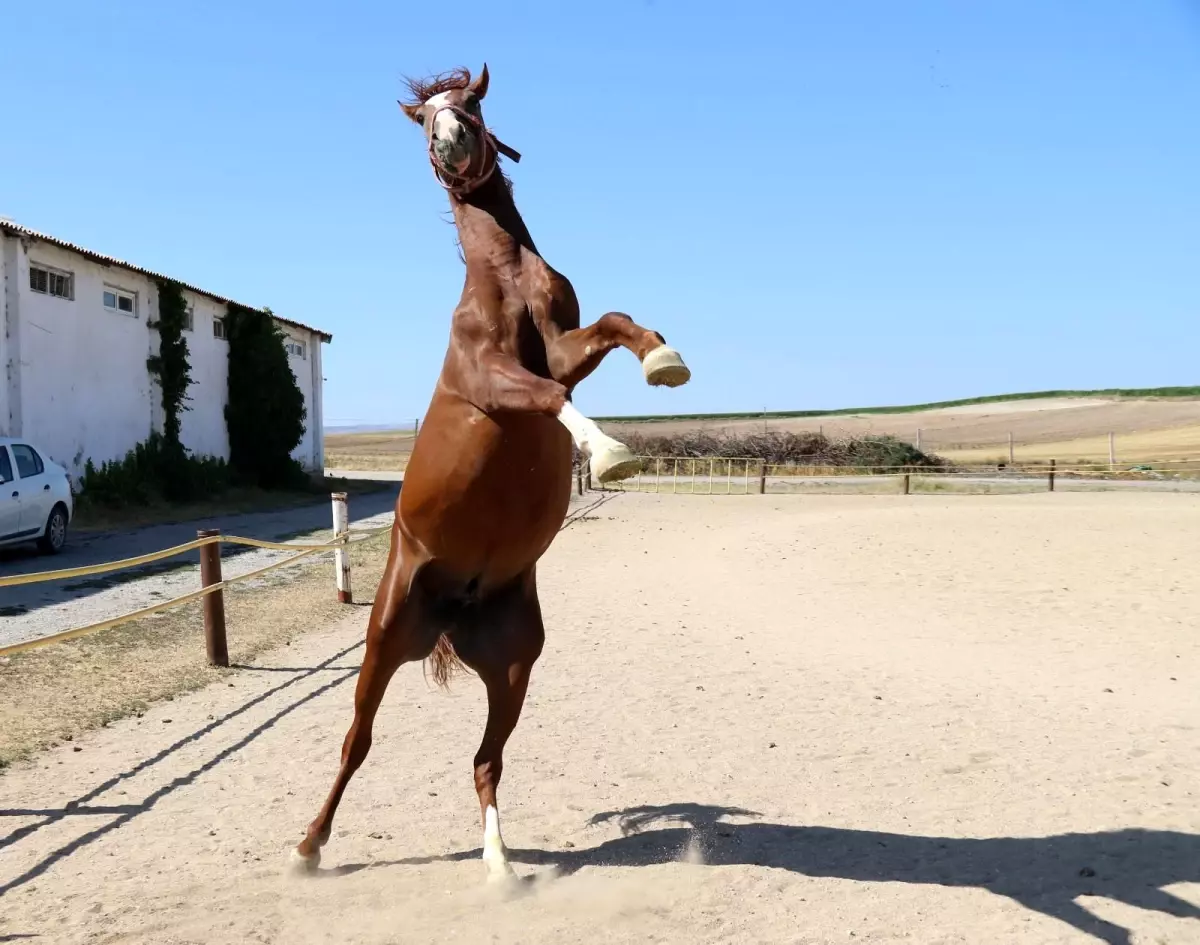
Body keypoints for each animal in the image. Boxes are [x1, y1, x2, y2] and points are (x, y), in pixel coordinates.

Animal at [290, 64, 691, 877]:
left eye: (471, 104)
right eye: (423, 118)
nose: (450, 142)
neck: (504, 280)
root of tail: (454, 608)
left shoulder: (567, 345)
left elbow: (614, 322)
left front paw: (666, 360)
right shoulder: (494, 380)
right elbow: (551, 398)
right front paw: (612, 454)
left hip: (512, 667)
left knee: (485, 761)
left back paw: (500, 865)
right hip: (383, 644)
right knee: (356, 743)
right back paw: (309, 847)